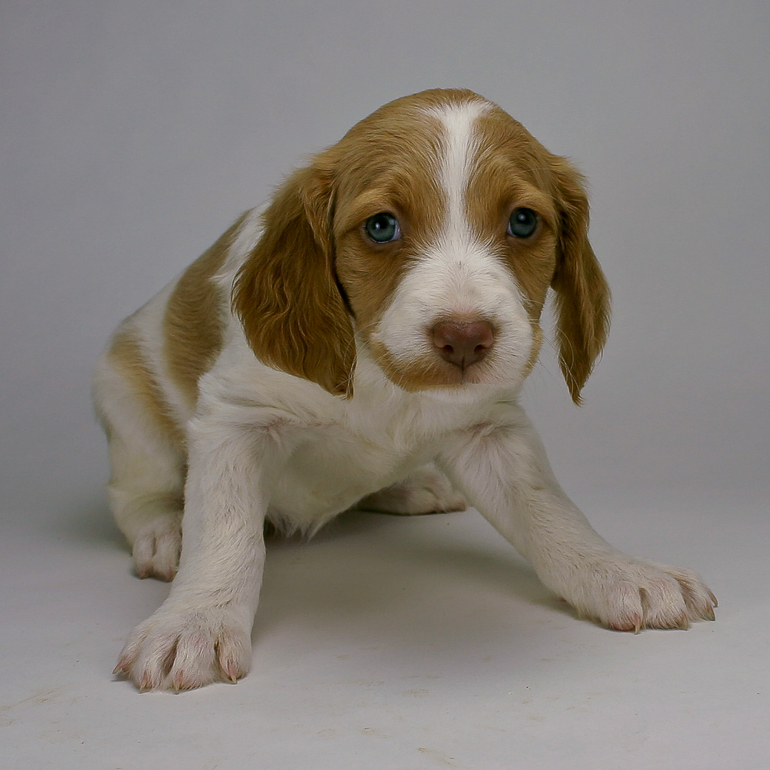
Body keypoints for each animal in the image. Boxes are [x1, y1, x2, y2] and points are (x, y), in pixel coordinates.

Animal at [94, 88, 712, 688]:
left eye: (523, 222)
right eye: (381, 227)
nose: (465, 337)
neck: (380, 378)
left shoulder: (490, 430)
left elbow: (553, 514)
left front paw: (618, 572)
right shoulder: (237, 419)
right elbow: (224, 534)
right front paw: (194, 622)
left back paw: (412, 486)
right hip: (124, 399)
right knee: (136, 493)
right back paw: (164, 533)